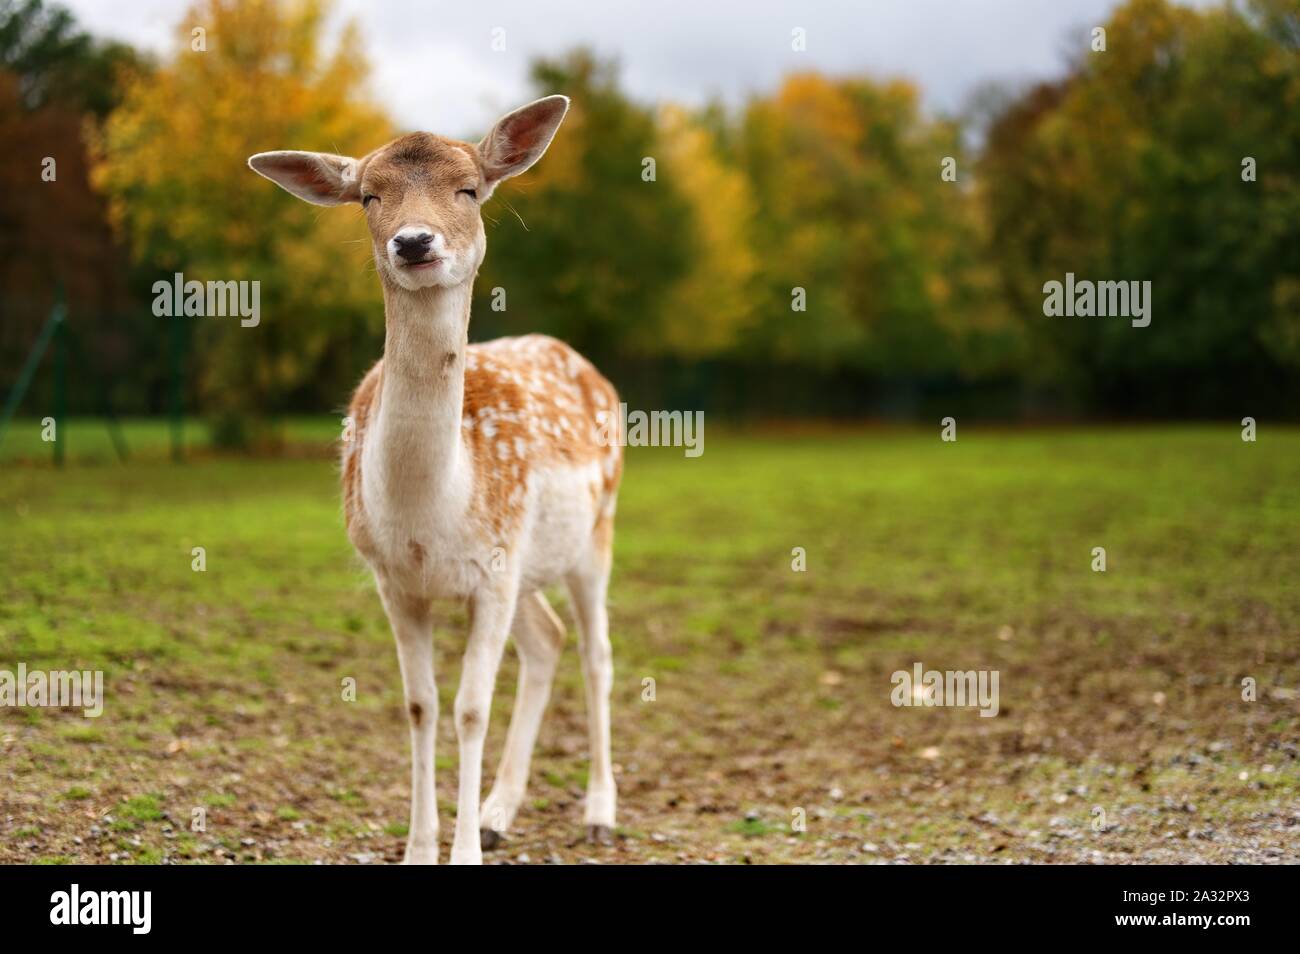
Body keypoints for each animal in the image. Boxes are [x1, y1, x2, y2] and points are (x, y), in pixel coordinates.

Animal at [249, 97, 624, 868]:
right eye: (368, 196)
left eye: (469, 189)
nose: (415, 242)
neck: (431, 511)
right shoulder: (395, 579)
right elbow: (419, 705)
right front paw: (423, 848)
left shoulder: (493, 573)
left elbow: (469, 708)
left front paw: (463, 854)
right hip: (530, 568)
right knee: (546, 642)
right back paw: (499, 811)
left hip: (595, 530)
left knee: (597, 652)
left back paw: (600, 812)